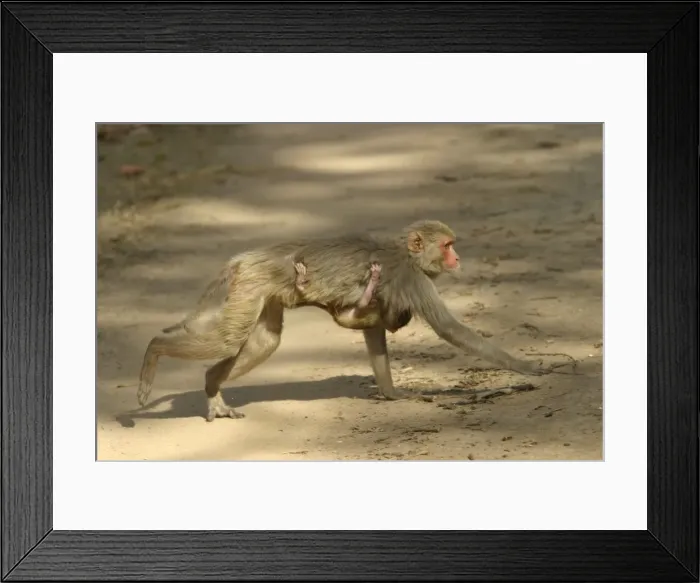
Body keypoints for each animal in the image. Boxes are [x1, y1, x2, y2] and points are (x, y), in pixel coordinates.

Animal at [136, 219, 550, 422]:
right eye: (448, 246)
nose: (457, 258)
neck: (407, 255)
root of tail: (250, 256)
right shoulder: (414, 279)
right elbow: (451, 330)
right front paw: (526, 366)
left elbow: (374, 330)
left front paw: (392, 393)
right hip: (253, 283)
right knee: (226, 339)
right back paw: (153, 352)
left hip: (261, 290)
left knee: (265, 341)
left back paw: (211, 385)